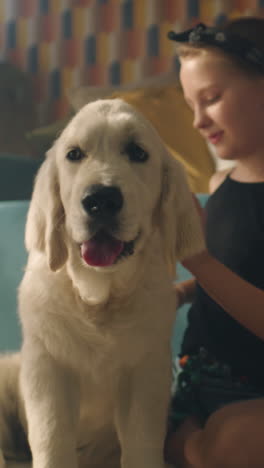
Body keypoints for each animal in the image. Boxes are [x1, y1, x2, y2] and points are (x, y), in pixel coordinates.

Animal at [0, 98, 204, 468]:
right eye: (74, 154)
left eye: (137, 152)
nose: (101, 199)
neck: (98, 299)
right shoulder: (47, 369)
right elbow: (52, 439)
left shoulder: (145, 373)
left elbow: (141, 443)